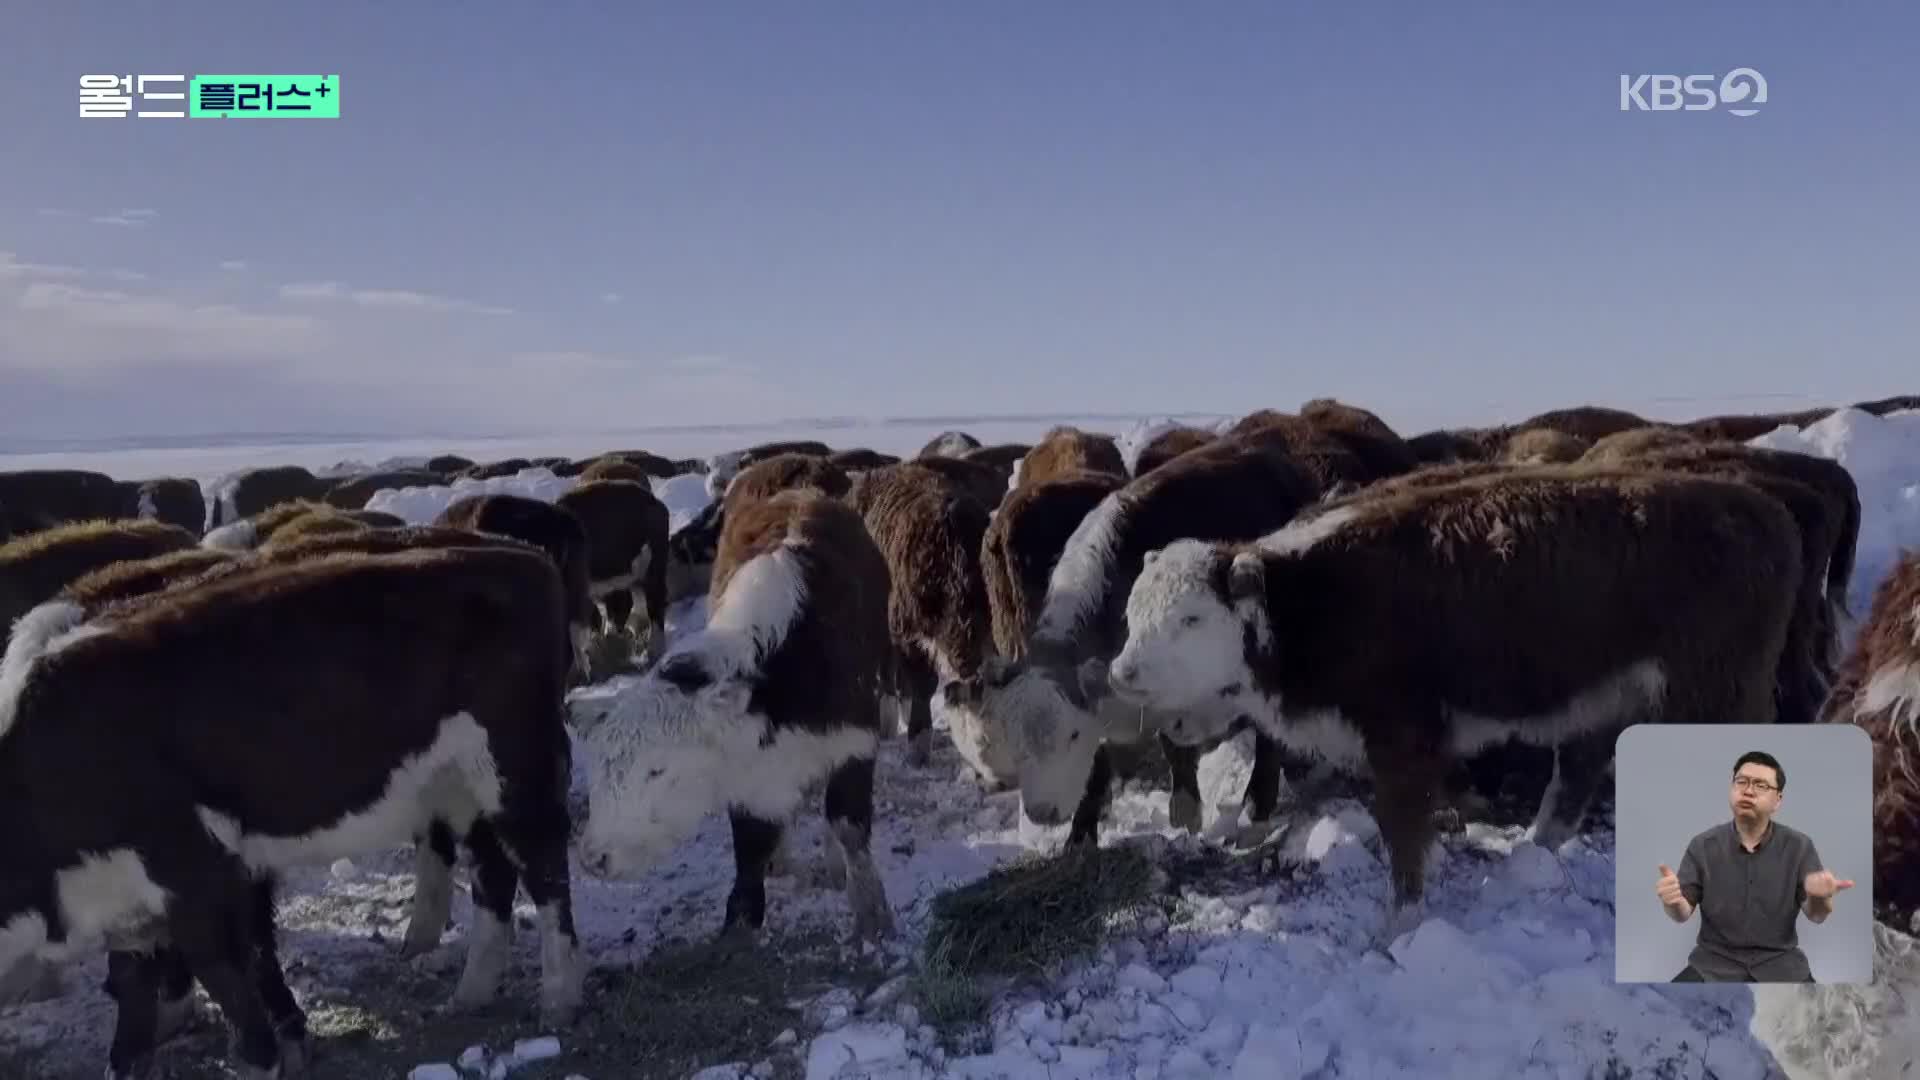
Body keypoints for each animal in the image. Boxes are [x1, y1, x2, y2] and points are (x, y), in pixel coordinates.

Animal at [572, 484, 894, 937]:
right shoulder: (745, 776)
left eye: (657, 770)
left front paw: (872, 914)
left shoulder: (854, 743)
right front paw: (740, 922)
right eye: (599, 769)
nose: (594, 858)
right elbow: (749, 850)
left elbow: (849, 827)